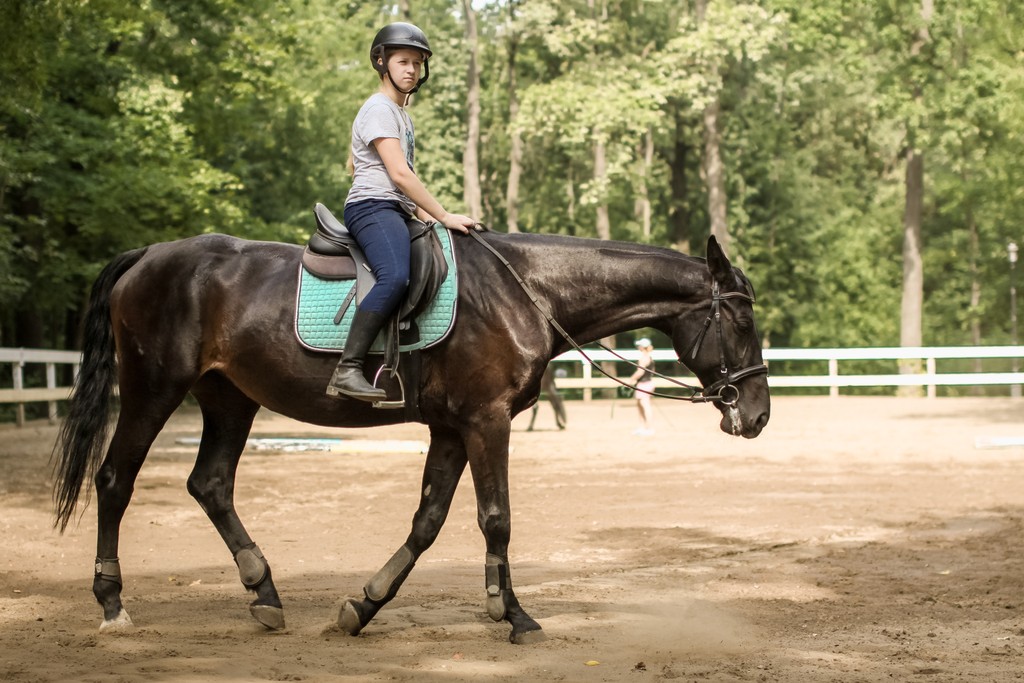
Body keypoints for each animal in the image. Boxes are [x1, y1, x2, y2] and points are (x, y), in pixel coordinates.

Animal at [48, 229, 770, 647]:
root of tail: (149, 256)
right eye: (740, 320)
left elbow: (428, 522)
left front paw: (363, 606)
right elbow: (496, 517)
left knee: (211, 484)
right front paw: (513, 614)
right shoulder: (485, 419)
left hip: (229, 398)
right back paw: (112, 603)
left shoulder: (452, 427)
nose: (758, 415)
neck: (526, 290)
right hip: (154, 388)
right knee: (115, 480)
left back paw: (264, 593)